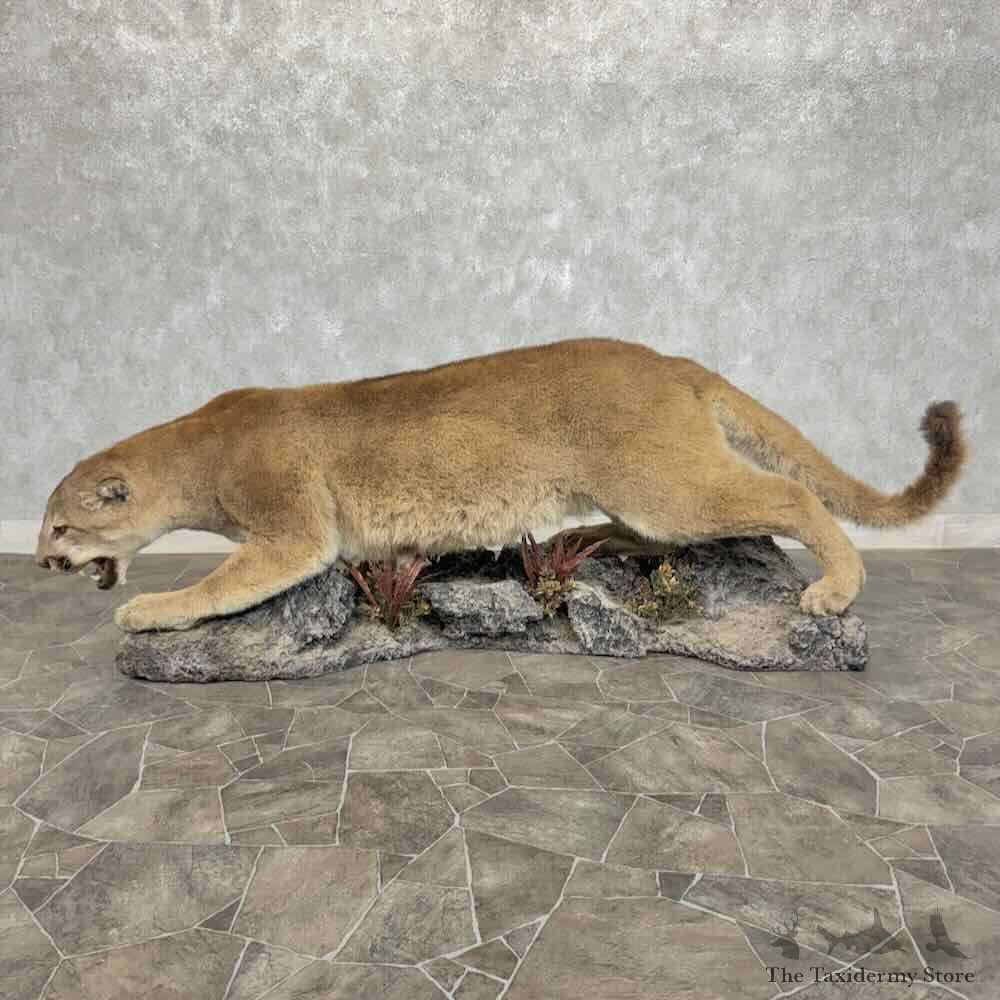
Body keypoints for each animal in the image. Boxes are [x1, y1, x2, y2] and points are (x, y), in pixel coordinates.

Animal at [34, 339, 965, 633]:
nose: (42, 563)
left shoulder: (293, 528)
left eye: (61, 528)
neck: (196, 450)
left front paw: (147, 610)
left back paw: (835, 591)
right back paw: (580, 541)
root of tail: (670, 358)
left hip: (666, 482)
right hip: (644, 488)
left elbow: (218, 584)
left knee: (791, 497)